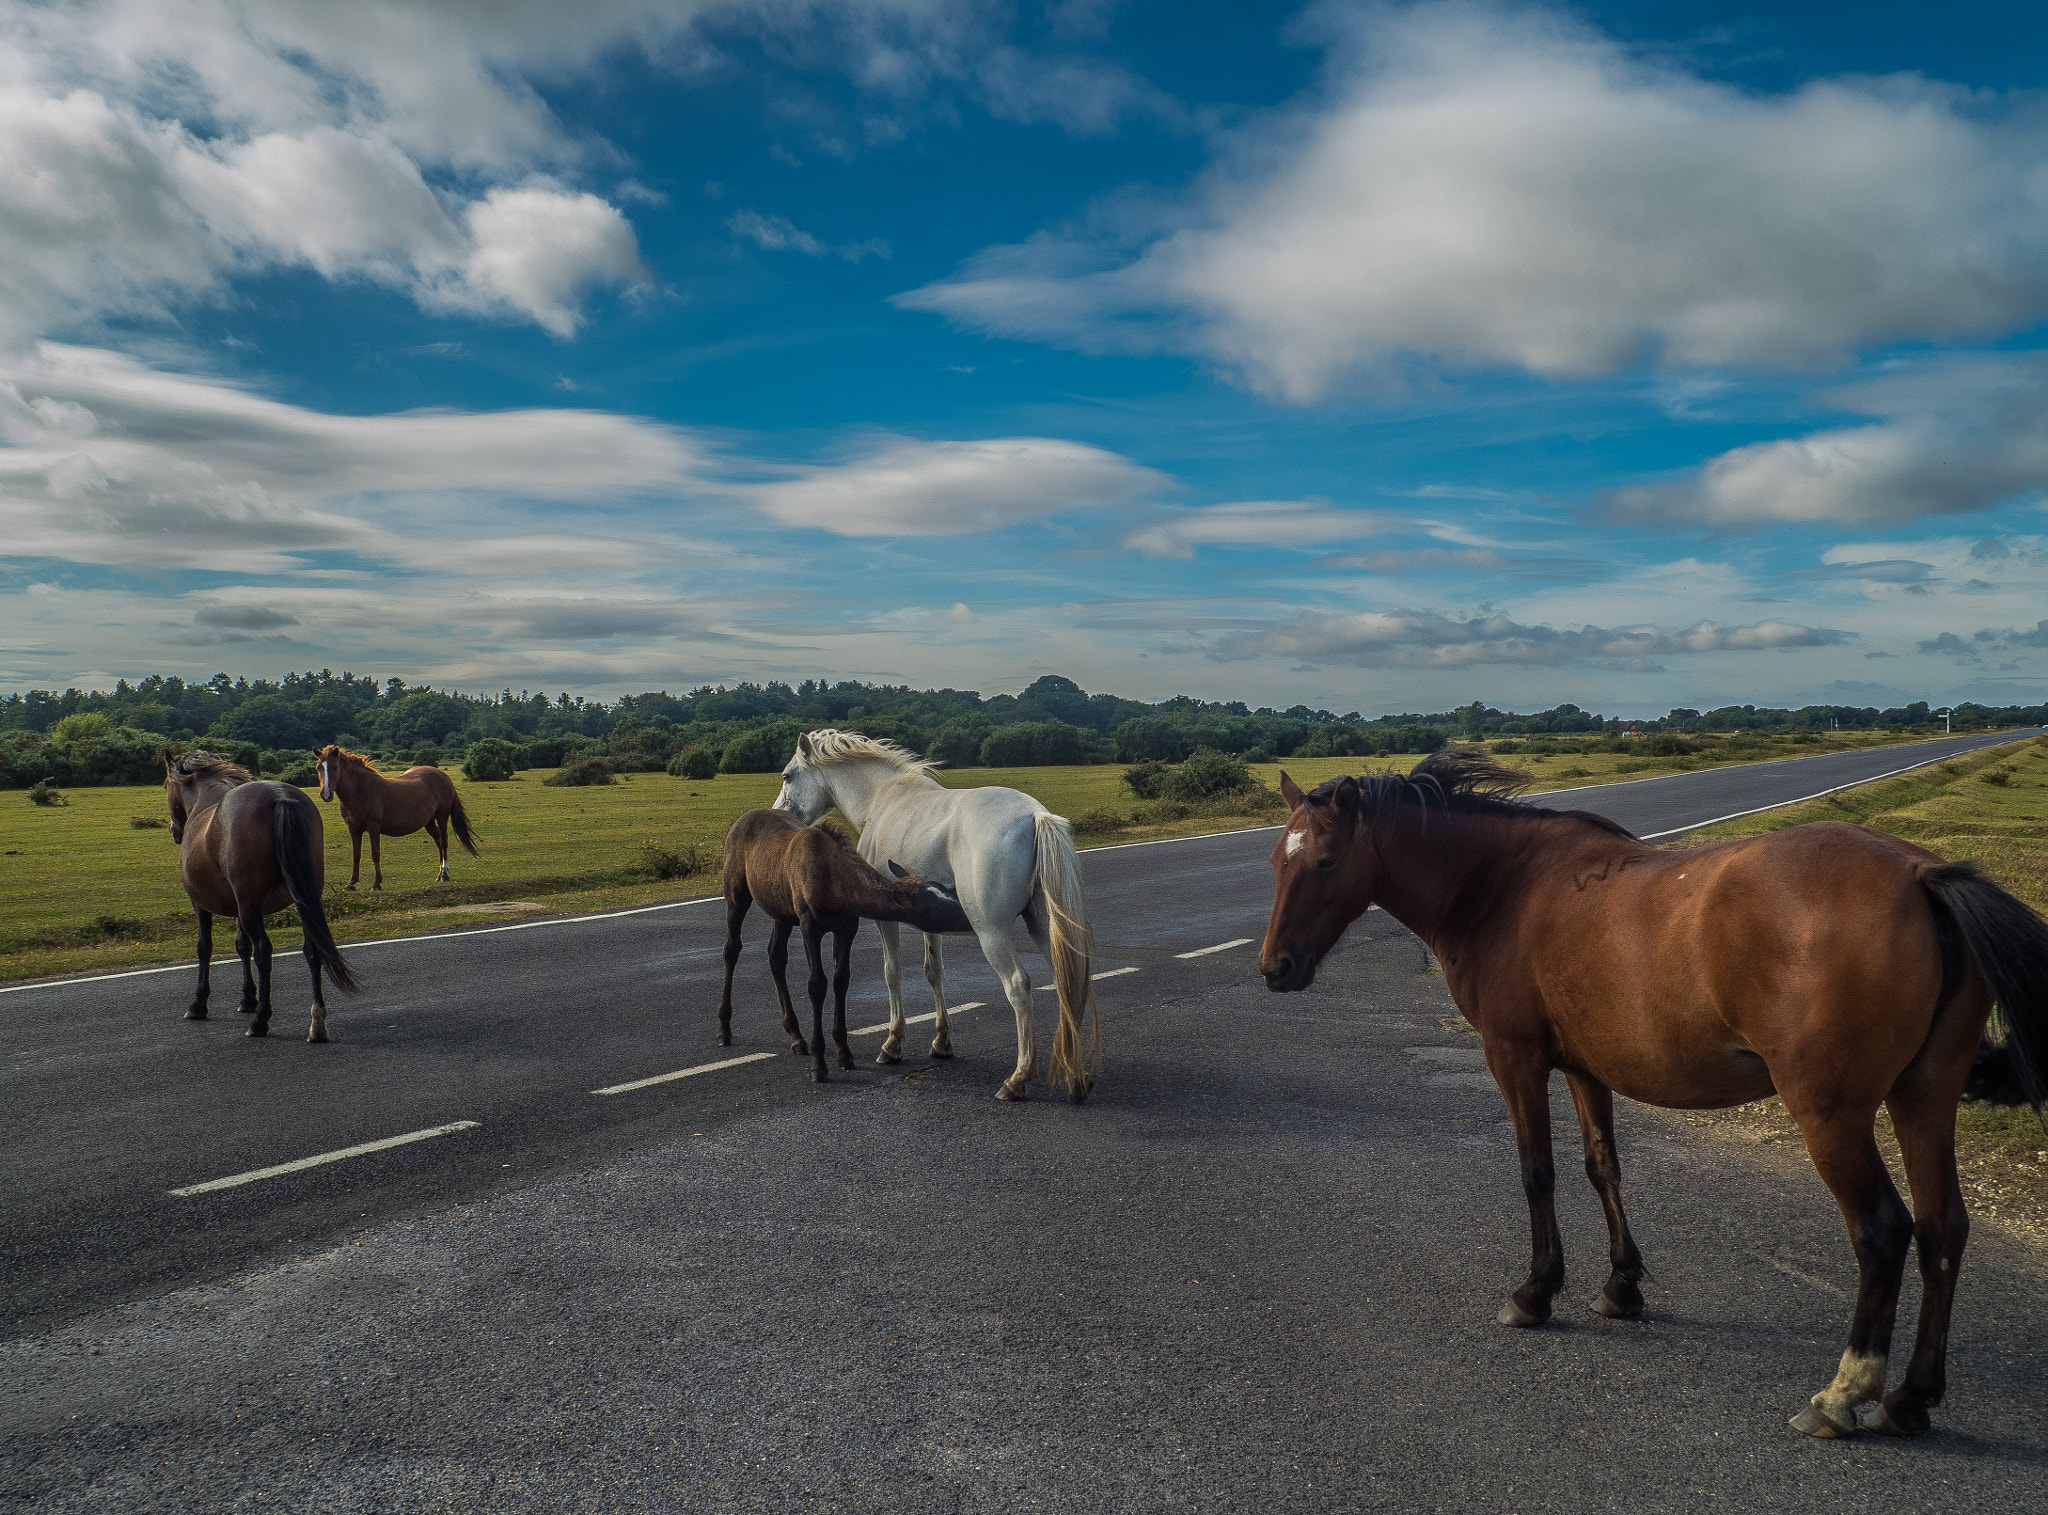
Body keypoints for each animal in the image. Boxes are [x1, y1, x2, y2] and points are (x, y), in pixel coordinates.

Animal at [165, 751, 360, 1041]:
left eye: (166, 785)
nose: (174, 830)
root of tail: (280, 797)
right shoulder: (240, 906)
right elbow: (241, 946)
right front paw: (248, 998)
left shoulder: (203, 904)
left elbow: (205, 947)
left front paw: (199, 1003)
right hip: (302, 901)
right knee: (313, 951)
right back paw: (317, 1023)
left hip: (251, 907)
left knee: (264, 951)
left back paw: (260, 1021)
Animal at [314, 745, 477, 890]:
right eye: (319, 767)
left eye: (335, 767)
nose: (326, 794)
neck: (360, 791)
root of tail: (444, 776)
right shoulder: (353, 829)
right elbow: (356, 855)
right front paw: (351, 883)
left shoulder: (373, 827)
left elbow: (375, 854)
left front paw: (376, 883)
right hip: (429, 821)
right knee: (438, 842)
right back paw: (439, 874)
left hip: (442, 816)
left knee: (443, 842)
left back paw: (444, 874)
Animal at [716, 809, 974, 1083]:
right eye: (935, 909)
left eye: (947, 891)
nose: (968, 915)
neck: (837, 887)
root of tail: (738, 822)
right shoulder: (809, 925)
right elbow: (817, 985)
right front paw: (819, 1064)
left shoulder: (847, 926)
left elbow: (841, 980)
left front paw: (844, 1053)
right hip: (736, 893)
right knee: (731, 949)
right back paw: (724, 1029)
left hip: (781, 911)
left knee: (776, 956)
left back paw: (796, 1036)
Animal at [771, 730, 1101, 1102]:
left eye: (787, 775)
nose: (778, 813)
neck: (882, 799)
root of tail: (1035, 816)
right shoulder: (930, 919)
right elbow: (934, 972)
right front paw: (942, 1041)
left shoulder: (886, 919)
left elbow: (892, 973)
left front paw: (892, 1044)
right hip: (1045, 928)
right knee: (1068, 979)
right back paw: (1076, 1076)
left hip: (991, 933)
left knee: (1018, 985)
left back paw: (1018, 1078)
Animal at [1259, 750, 2047, 1440]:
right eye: (1276, 861)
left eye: (1325, 861)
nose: (1275, 967)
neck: (1502, 886)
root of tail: (1919, 873)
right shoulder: (1585, 1068)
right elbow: (1601, 1167)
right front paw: (1621, 1285)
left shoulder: (1514, 1058)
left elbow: (1537, 1172)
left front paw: (1536, 1291)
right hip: (1924, 1099)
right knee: (1943, 1229)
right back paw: (1911, 1396)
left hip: (1832, 1116)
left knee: (1883, 1230)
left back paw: (1843, 1393)